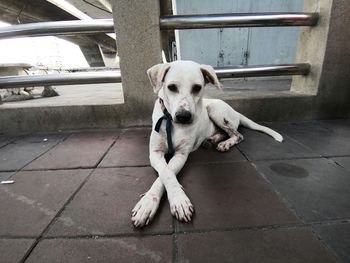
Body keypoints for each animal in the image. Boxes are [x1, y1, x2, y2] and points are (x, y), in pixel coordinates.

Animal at [131, 60, 282, 228]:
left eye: (197, 87)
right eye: (172, 87)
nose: (183, 116)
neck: (172, 123)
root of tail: (235, 112)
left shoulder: (182, 154)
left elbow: (168, 173)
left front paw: (178, 200)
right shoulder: (155, 153)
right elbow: (165, 173)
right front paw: (148, 203)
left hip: (214, 109)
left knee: (238, 135)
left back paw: (225, 144)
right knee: (224, 132)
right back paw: (211, 140)